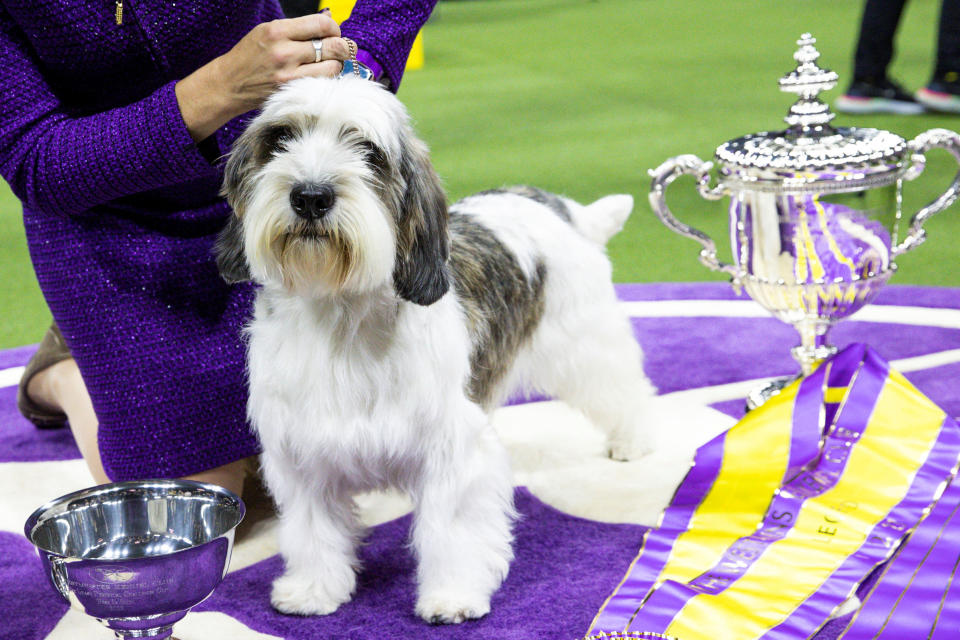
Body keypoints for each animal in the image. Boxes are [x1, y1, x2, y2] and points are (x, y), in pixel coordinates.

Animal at [214, 77, 656, 624]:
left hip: (586, 342)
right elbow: (313, 529)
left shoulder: (452, 450)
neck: (342, 318)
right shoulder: (302, 456)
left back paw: (633, 438)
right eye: (279, 140)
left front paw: (452, 596)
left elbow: (452, 529)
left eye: (369, 152)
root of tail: (554, 204)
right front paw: (314, 590)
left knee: (625, 387)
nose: (310, 196)